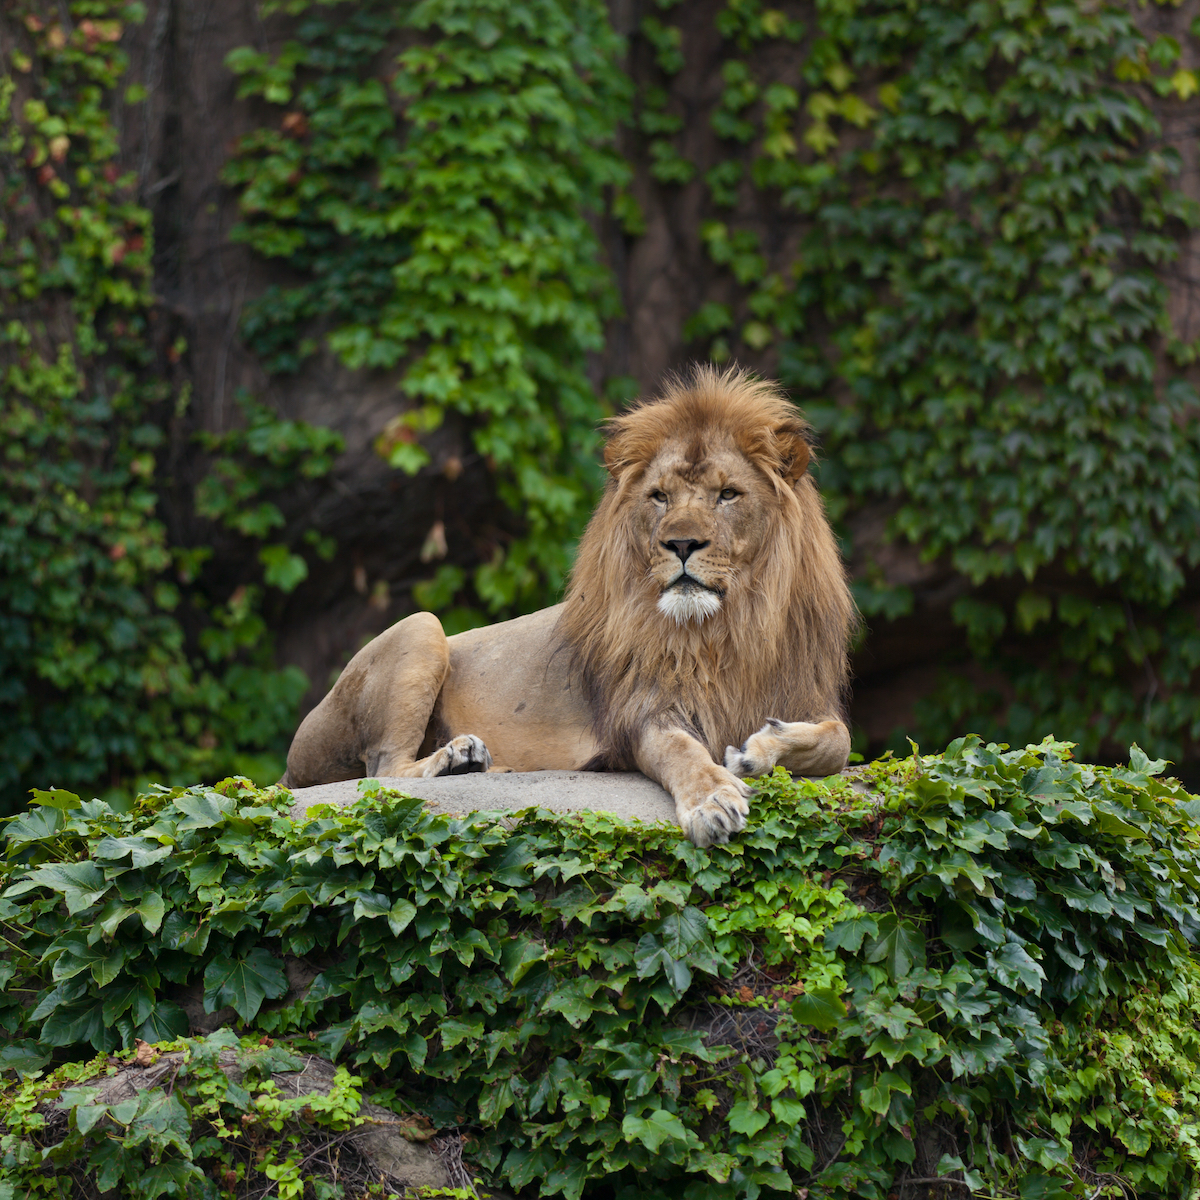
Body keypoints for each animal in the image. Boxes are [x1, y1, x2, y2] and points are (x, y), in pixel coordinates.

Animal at [281, 366, 857, 846]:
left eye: (728, 494)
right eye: (660, 497)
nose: (681, 544)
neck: (724, 629)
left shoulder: (805, 692)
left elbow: (839, 739)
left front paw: (758, 750)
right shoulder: (641, 712)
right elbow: (683, 752)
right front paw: (711, 801)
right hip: (421, 627)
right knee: (383, 772)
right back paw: (461, 760)